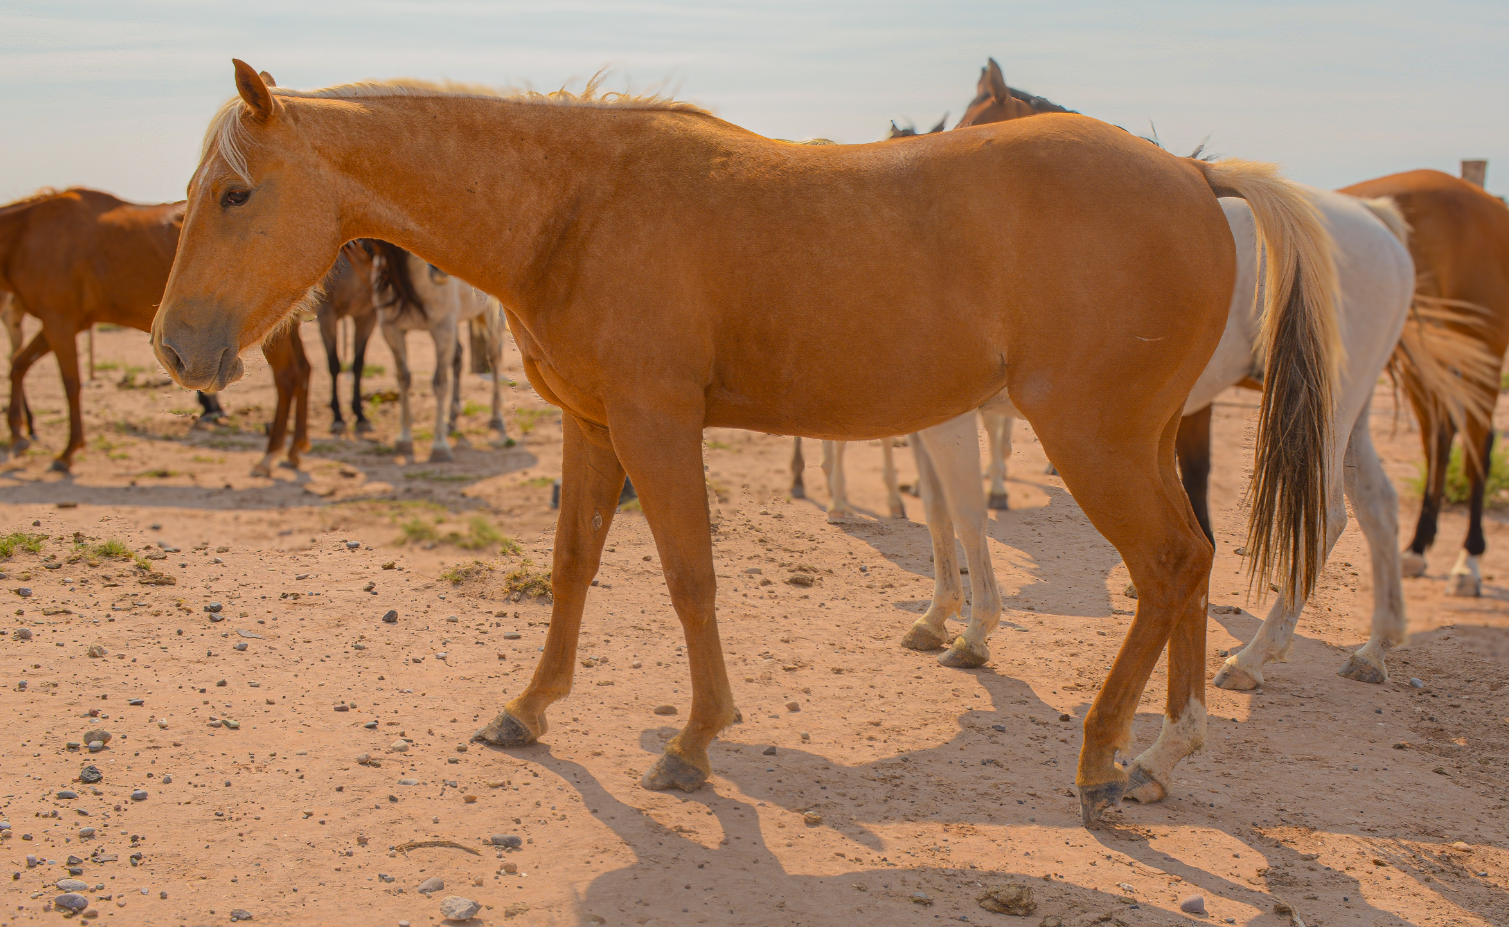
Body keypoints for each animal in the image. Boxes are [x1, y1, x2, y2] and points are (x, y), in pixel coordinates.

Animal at [0, 186, 310, 474]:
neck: (28, 233)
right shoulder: (59, 324)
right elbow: (18, 366)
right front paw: (18, 436)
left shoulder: (59, 322)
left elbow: (70, 384)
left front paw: (67, 452)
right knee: (303, 370)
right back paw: (296, 448)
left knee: (286, 377)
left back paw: (270, 454)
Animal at [367, 240, 508, 460]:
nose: (442, 267)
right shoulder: (392, 331)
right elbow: (404, 379)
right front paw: (404, 439)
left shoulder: (442, 330)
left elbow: (439, 383)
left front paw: (439, 446)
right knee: (458, 359)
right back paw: (452, 419)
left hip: (489, 318)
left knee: (494, 359)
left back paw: (496, 418)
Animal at [1339, 170, 1509, 599]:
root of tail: (1493, 204)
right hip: (1425, 359)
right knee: (1440, 439)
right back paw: (1418, 546)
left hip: (1480, 351)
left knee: (1477, 443)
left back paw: (1468, 562)